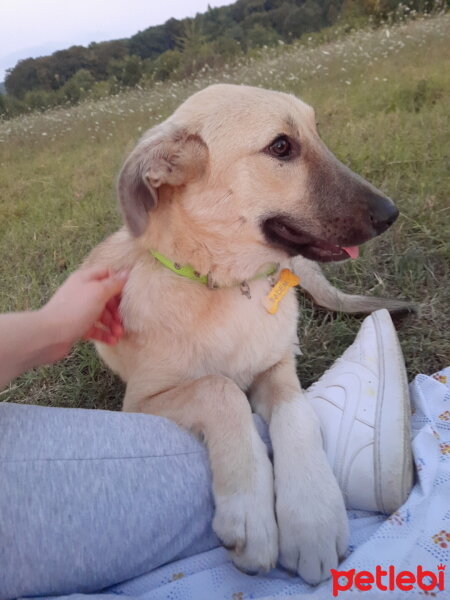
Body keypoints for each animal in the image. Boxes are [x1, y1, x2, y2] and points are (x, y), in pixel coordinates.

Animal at [84, 85, 412, 584]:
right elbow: (219, 389)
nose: (391, 213)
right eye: (281, 147)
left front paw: (312, 515)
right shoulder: (142, 402)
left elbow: (297, 412)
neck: (228, 286)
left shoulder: (276, 367)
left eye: (316, 132)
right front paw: (251, 514)